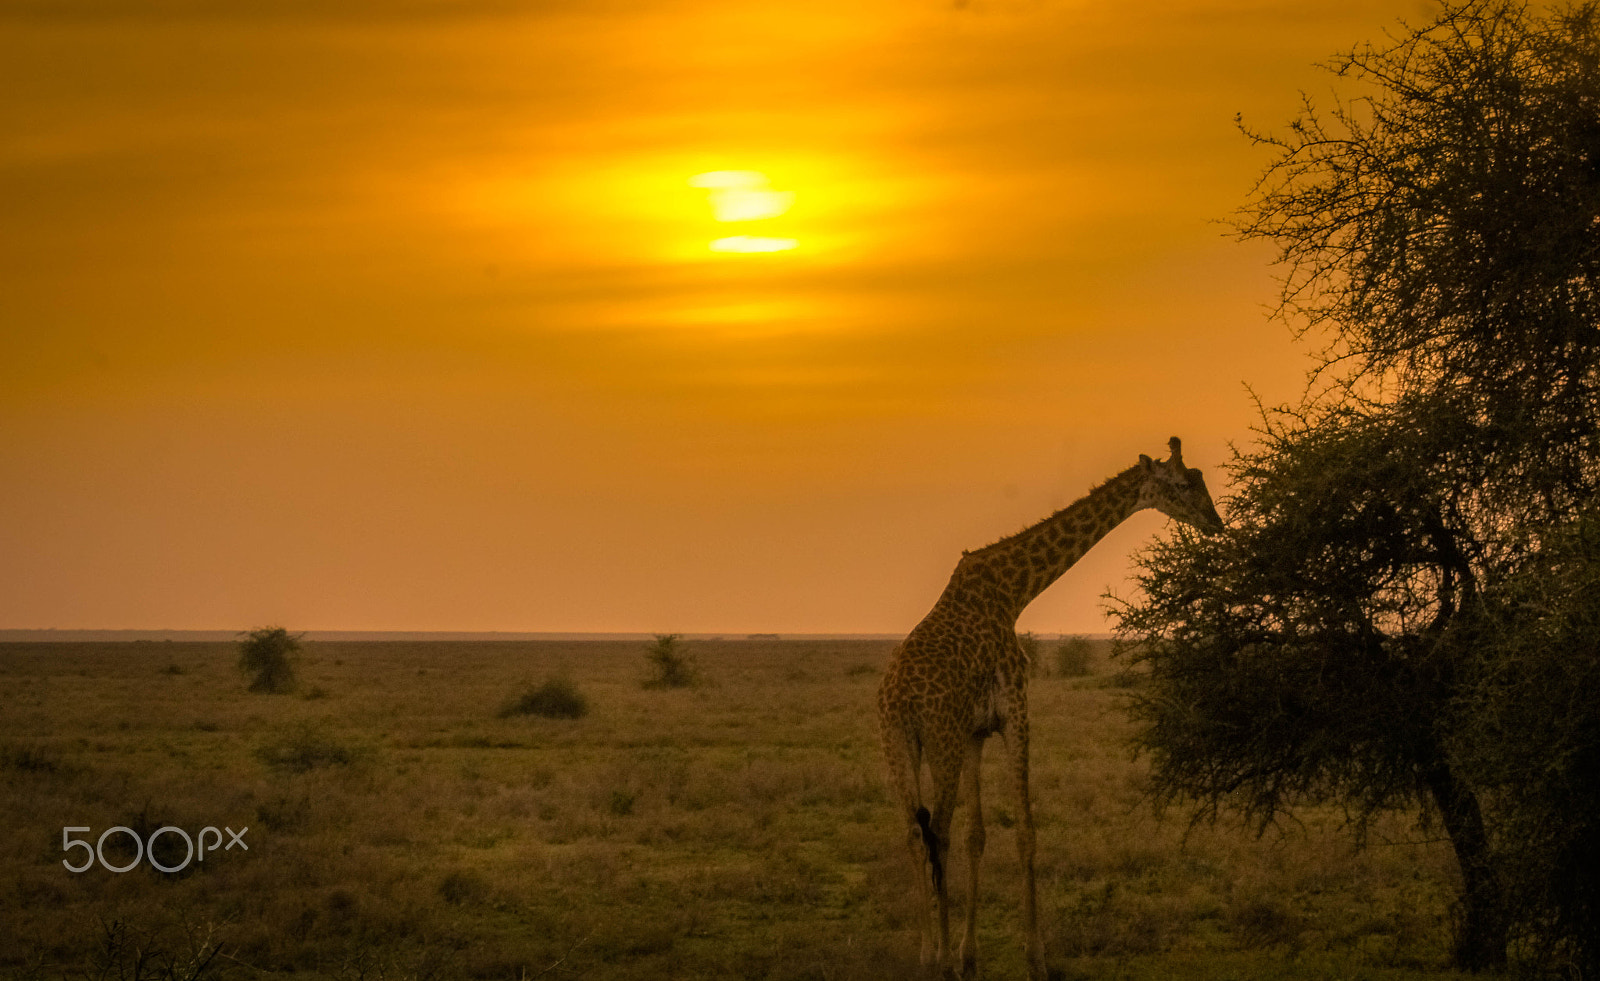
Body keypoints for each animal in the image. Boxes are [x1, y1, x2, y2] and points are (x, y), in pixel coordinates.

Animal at [877, 437, 1223, 980]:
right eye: (1186, 483)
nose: (1217, 522)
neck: (1013, 589)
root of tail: (899, 699)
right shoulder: (1015, 712)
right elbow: (1024, 833)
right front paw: (1035, 957)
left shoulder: (976, 731)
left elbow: (979, 836)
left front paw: (969, 955)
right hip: (939, 740)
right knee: (938, 835)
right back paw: (939, 962)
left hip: (897, 744)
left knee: (916, 834)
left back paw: (928, 956)